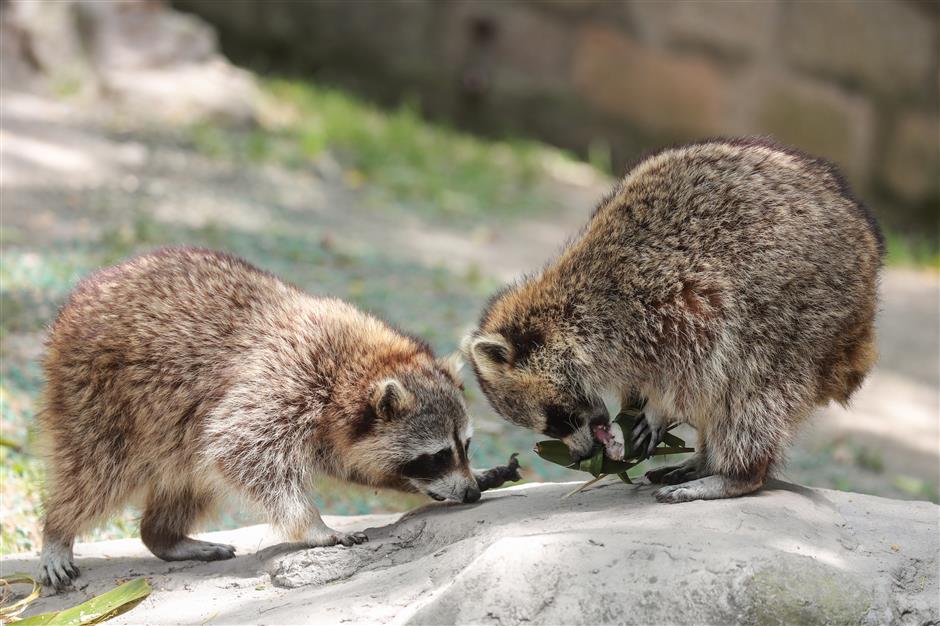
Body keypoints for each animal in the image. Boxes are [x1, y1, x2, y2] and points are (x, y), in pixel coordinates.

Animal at [39, 246, 482, 588]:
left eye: (466, 446)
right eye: (439, 455)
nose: (473, 494)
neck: (358, 367)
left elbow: (351, 465)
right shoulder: (283, 380)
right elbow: (240, 450)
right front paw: (313, 526)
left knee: (189, 476)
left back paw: (163, 535)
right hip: (98, 394)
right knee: (97, 472)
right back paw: (59, 529)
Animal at [466, 138, 884, 502]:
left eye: (558, 418)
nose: (580, 458)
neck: (567, 310)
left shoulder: (672, 298)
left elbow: (695, 369)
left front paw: (657, 410)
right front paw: (631, 411)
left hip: (801, 313)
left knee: (750, 389)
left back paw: (737, 474)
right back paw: (705, 459)